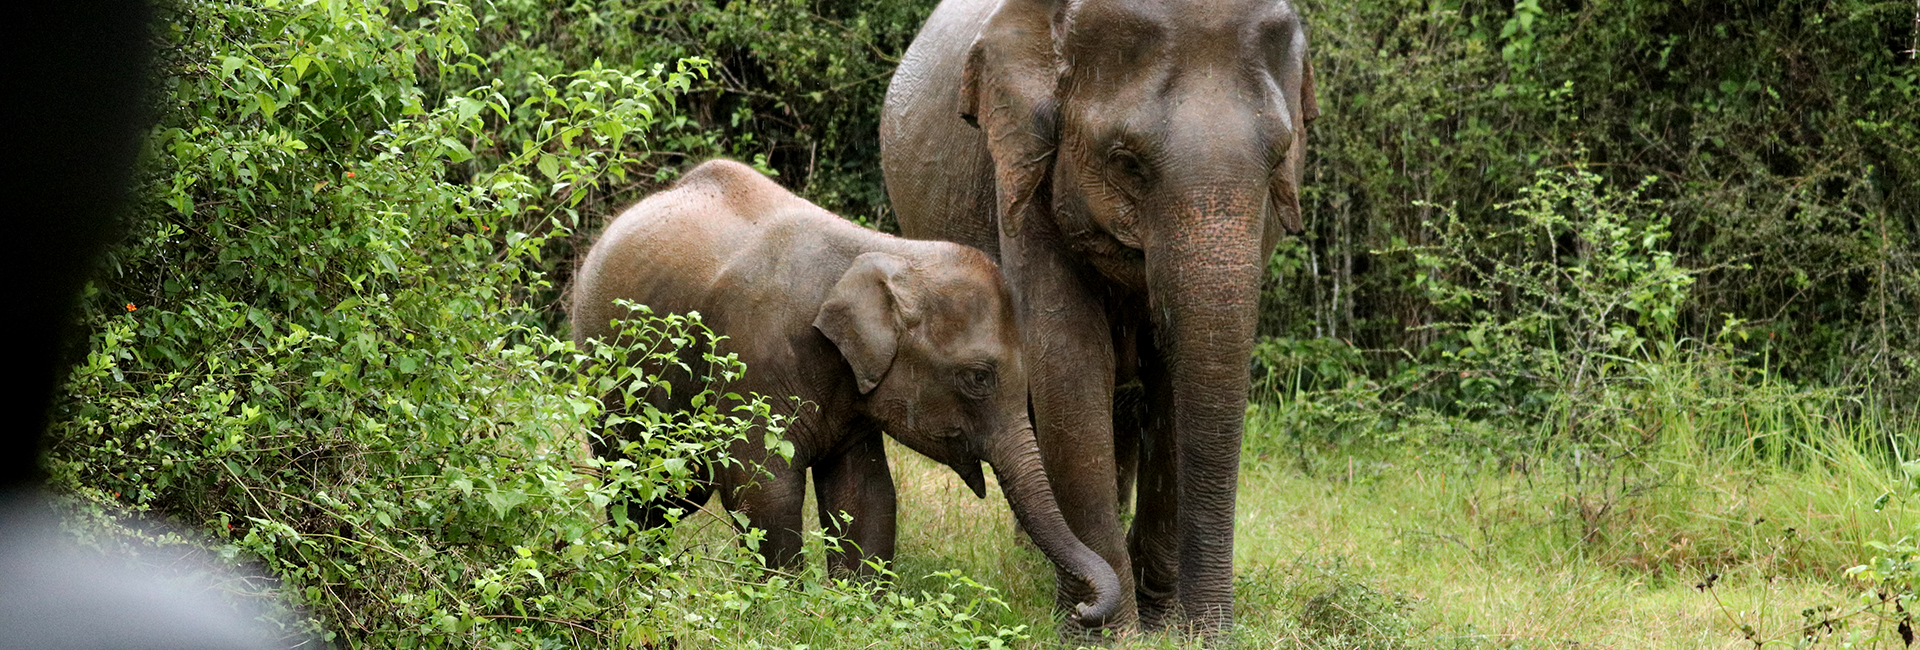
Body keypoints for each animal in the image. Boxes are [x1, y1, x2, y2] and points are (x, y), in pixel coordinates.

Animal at [570, 159, 1122, 628]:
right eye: (979, 378)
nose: (1081, 612)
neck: (886, 253)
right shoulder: (750, 360)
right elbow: (762, 486)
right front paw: (783, 612)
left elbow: (866, 494)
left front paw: (856, 612)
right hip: (605, 375)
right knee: (640, 485)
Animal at [879, 0, 1319, 636]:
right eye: (1126, 162)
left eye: (1280, 157)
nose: (1214, 630)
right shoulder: (1021, 169)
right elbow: (1068, 359)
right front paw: (1104, 630)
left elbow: (1174, 379)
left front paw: (1164, 624)